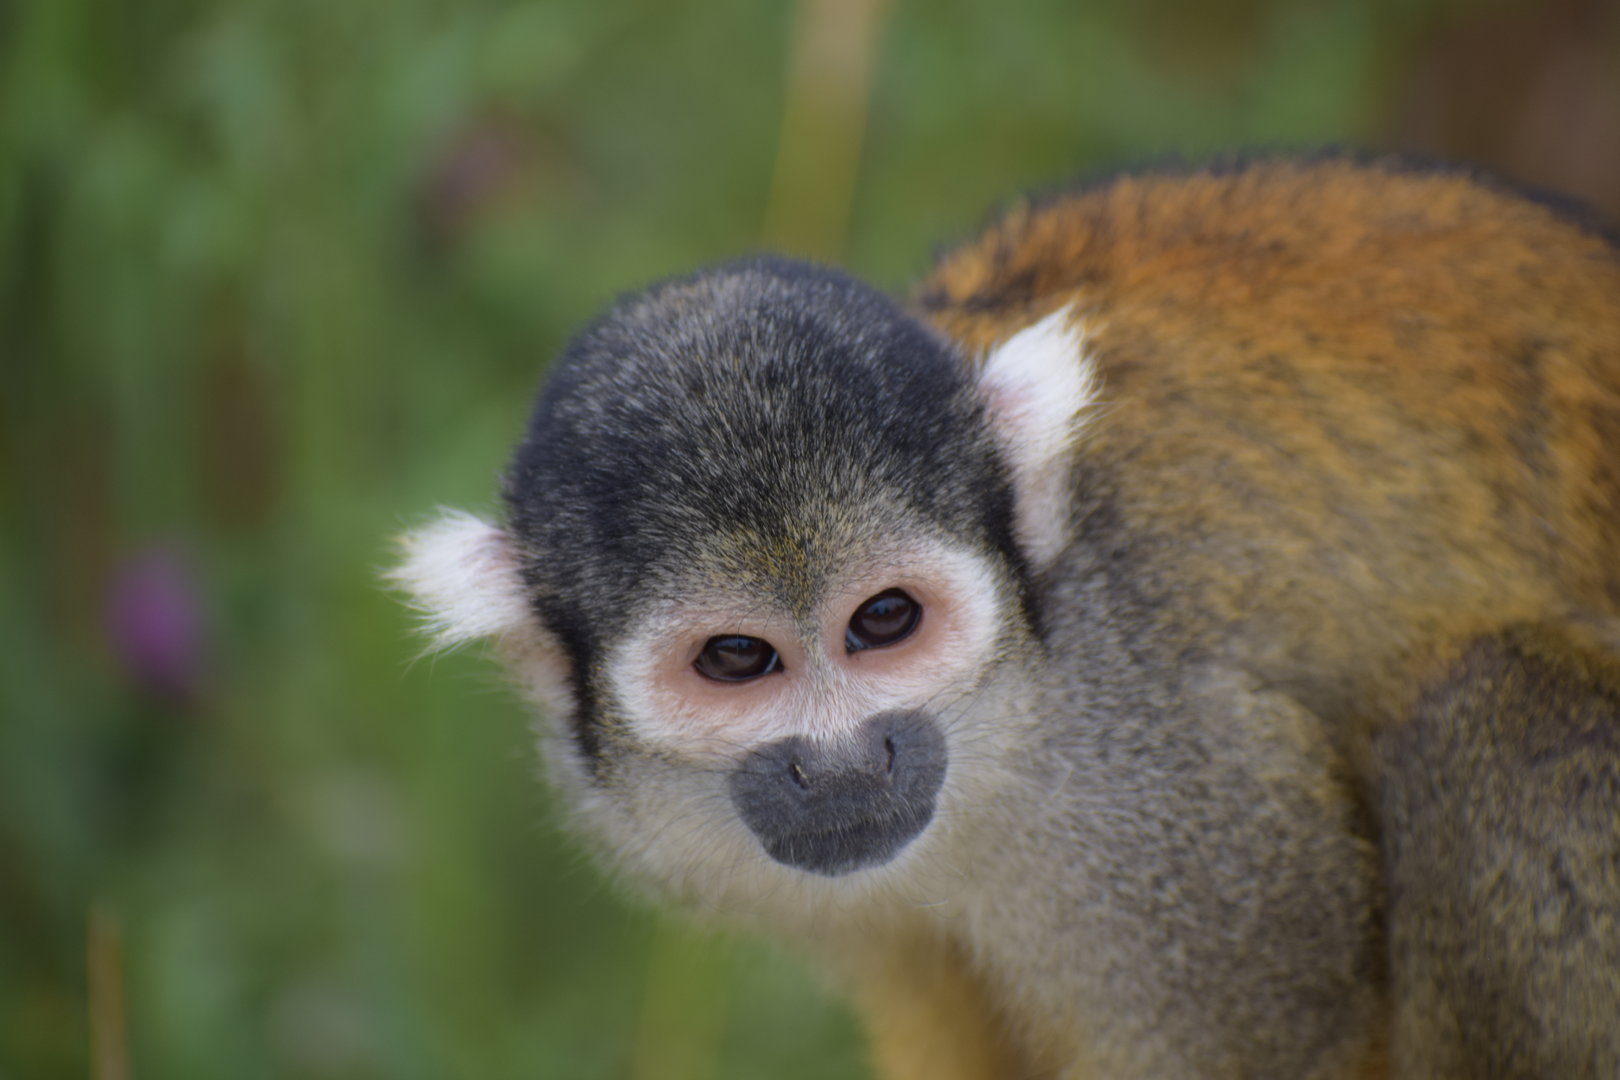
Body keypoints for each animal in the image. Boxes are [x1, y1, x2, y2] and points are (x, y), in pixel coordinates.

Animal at [391, 155, 1620, 1079]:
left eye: (884, 621)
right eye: (738, 658)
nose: (844, 763)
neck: (1015, 725)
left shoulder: (1169, 795)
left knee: (1502, 714)